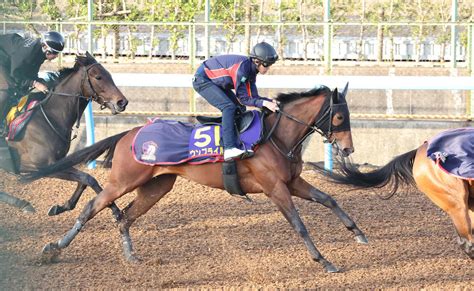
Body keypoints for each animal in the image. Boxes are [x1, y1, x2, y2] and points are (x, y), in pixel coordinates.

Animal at [0, 51, 128, 218]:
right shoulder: (41, 166)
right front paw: (115, 210)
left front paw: (62, 207)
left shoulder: (60, 162)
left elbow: (84, 180)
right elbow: (88, 178)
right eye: (98, 77)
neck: (50, 118)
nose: (122, 102)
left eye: (109, 75)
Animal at [33, 84, 368, 274]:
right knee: (94, 206)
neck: (275, 136)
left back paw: (131, 257)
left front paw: (358, 233)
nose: (348, 149)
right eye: (340, 117)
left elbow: (328, 199)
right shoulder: (275, 188)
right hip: (123, 181)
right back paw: (53, 248)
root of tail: (130, 132)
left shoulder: (292, 183)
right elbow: (299, 225)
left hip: (157, 186)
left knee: (125, 217)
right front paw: (325, 261)